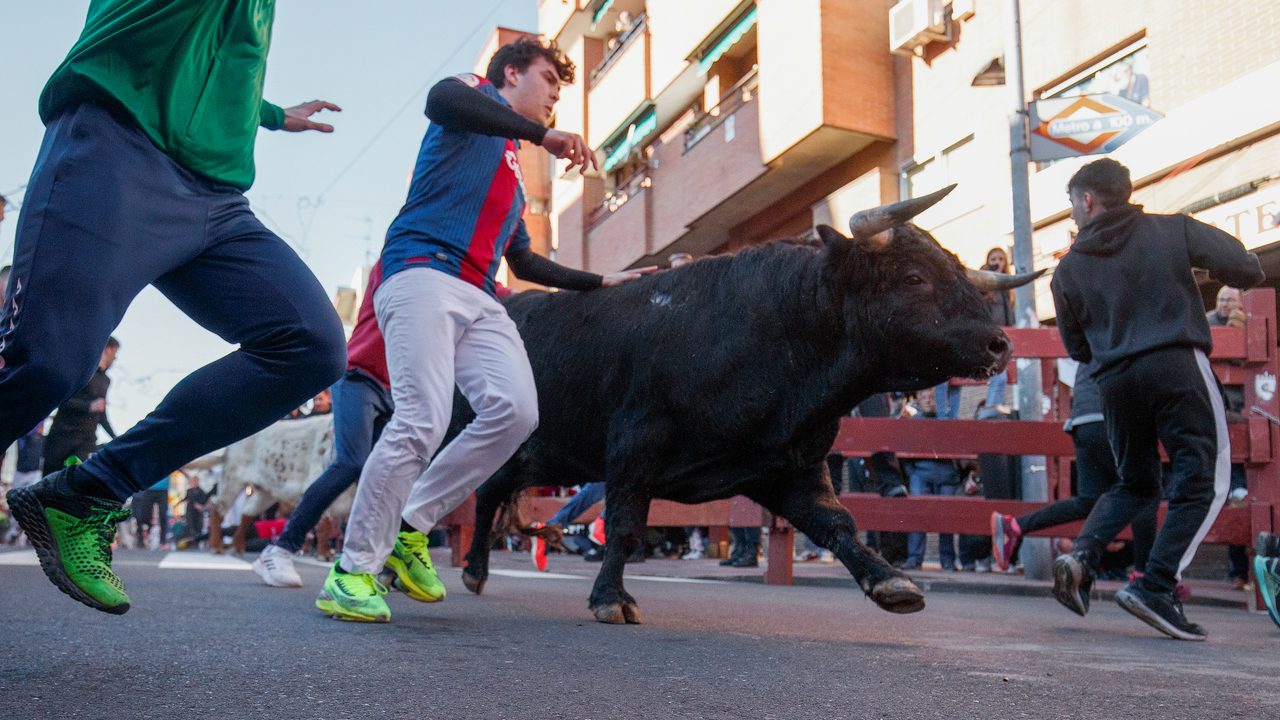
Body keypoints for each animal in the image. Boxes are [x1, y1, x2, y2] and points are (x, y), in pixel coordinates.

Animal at [445, 188, 1034, 620]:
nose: (999, 345)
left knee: (491, 491)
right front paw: (612, 599)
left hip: (537, 451)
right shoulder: (635, 446)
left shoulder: (790, 467)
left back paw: (475, 569)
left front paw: (891, 582)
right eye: (913, 277)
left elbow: (837, 522)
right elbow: (627, 525)